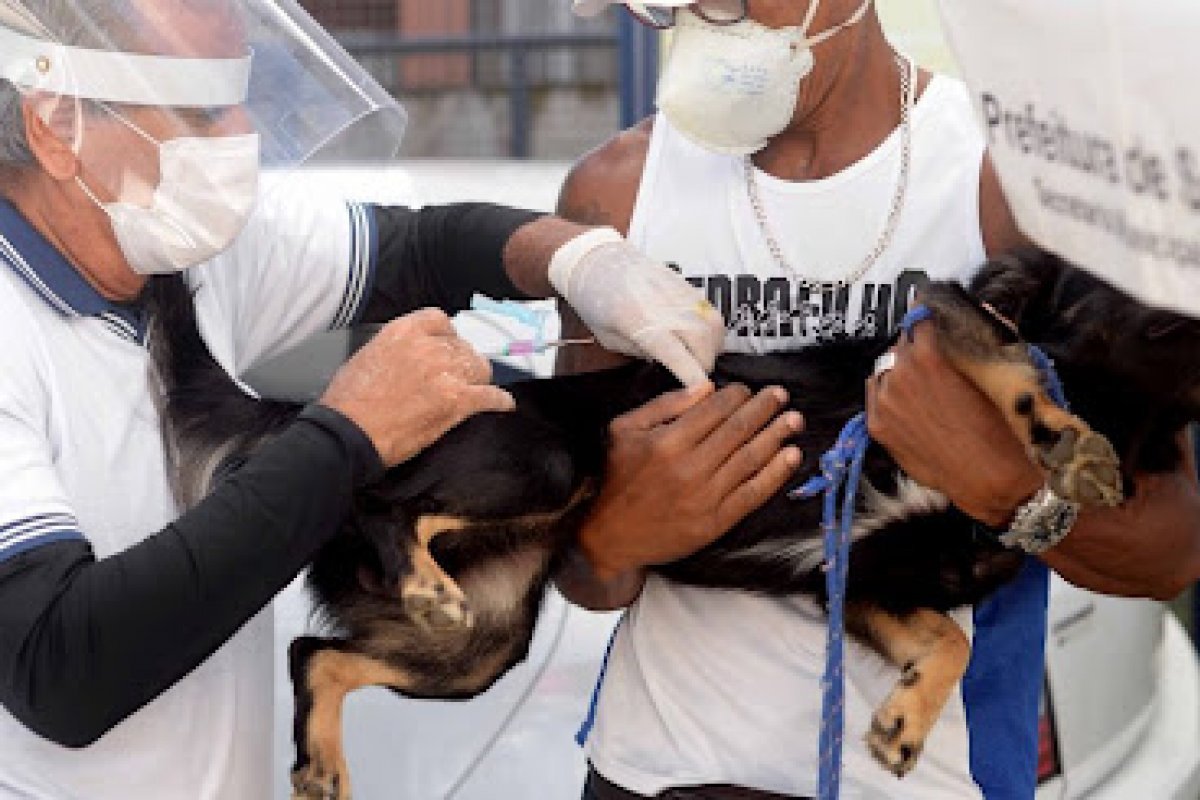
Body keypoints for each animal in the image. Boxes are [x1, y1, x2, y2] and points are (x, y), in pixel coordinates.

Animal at [150, 250, 1200, 800]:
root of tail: (316, 415)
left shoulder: (863, 585)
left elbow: (950, 643)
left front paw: (902, 723)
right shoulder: (939, 330)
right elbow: (1020, 368)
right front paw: (1068, 444)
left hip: (485, 644)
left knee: (315, 658)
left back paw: (324, 758)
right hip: (544, 463)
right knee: (379, 504)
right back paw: (413, 572)